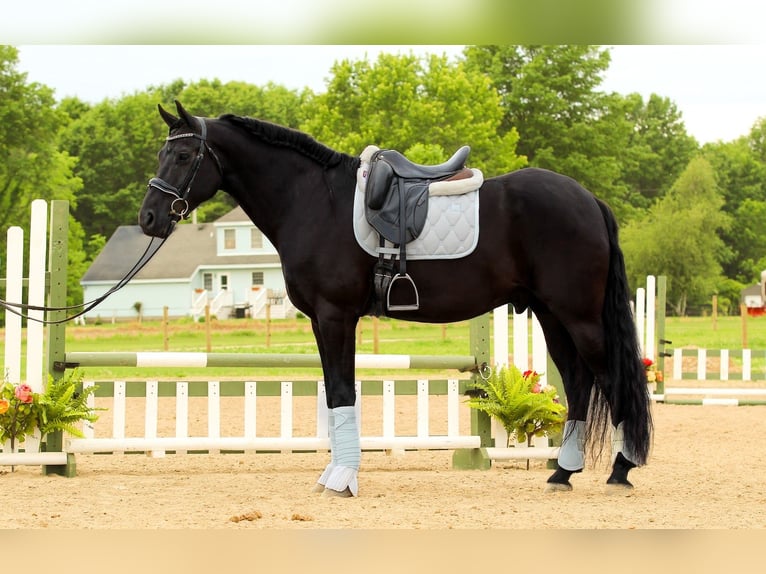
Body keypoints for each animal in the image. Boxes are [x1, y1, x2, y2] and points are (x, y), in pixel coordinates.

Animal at [139, 100, 652, 497]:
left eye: (183, 154)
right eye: (163, 152)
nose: (149, 218)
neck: (313, 201)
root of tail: (589, 200)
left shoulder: (336, 317)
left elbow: (342, 392)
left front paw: (343, 479)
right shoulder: (320, 322)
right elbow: (335, 394)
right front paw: (334, 473)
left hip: (578, 316)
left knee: (611, 379)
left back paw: (621, 467)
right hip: (551, 315)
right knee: (579, 382)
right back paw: (563, 472)